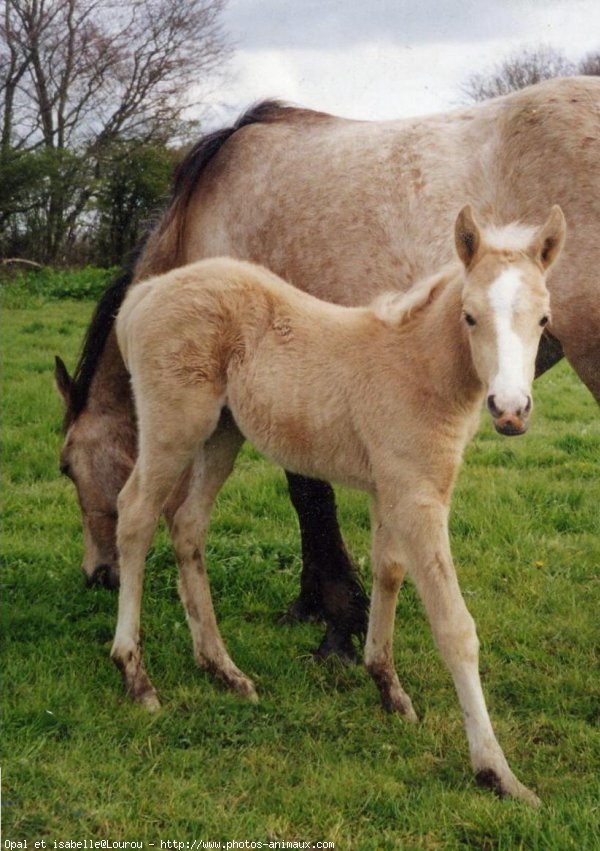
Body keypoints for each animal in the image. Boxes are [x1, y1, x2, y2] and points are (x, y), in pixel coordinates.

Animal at [56, 75, 600, 660]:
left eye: (66, 467)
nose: (97, 574)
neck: (200, 218)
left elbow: (308, 495)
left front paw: (338, 620)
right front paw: (315, 604)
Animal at [115, 206, 564, 804]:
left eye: (543, 320)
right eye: (469, 317)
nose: (510, 410)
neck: (418, 371)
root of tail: (145, 294)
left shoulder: (389, 489)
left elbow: (388, 573)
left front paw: (388, 689)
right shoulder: (419, 497)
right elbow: (454, 626)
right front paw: (498, 772)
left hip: (223, 434)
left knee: (187, 524)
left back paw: (223, 670)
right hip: (173, 427)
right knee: (135, 516)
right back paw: (136, 675)